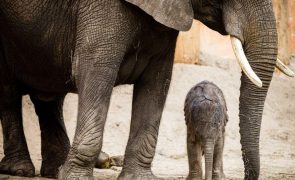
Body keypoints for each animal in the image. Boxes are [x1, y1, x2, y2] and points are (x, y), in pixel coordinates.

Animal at [0, 0, 292, 179]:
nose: (246, 176)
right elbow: (95, 71)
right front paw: (75, 178)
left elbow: (157, 82)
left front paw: (138, 177)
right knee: (9, 92)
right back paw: (21, 170)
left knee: (48, 99)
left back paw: (54, 170)